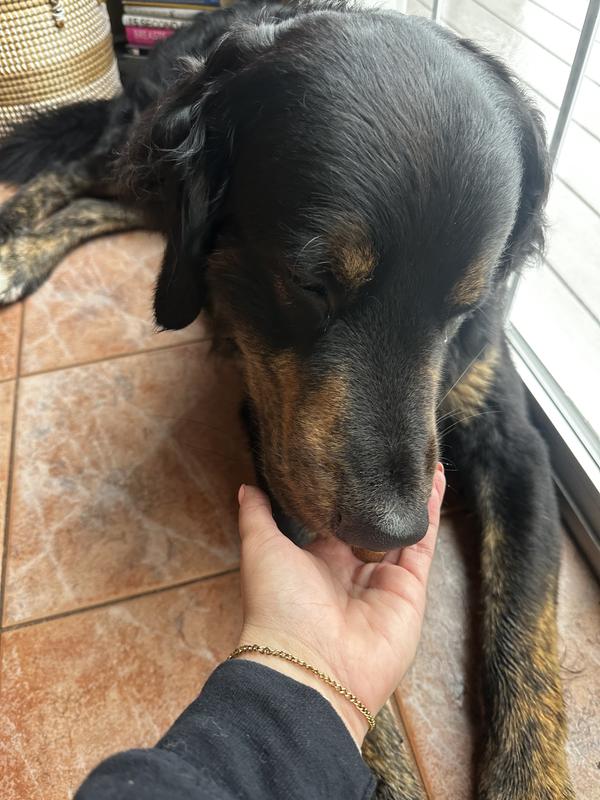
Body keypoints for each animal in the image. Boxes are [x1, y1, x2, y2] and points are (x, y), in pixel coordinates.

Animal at [0, 2, 573, 797]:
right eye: (309, 283)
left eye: (466, 302)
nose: (394, 529)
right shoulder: (278, 430)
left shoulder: (515, 445)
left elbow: (527, 634)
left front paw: (530, 780)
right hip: (141, 146)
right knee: (82, 172)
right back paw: (14, 234)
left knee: (110, 205)